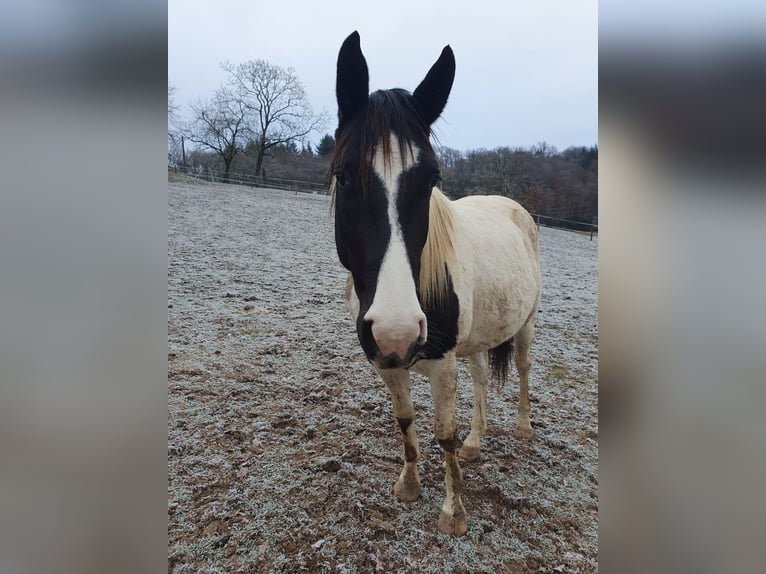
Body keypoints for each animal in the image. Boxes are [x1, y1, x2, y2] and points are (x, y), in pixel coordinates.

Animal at [332, 30, 544, 536]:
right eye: (344, 176)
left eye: (432, 178)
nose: (397, 331)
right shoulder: (386, 362)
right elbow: (405, 419)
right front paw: (409, 485)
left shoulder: (442, 363)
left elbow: (442, 434)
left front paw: (453, 511)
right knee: (483, 377)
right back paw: (476, 442)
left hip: (525, 324)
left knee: (523, 368)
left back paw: (523, 428)